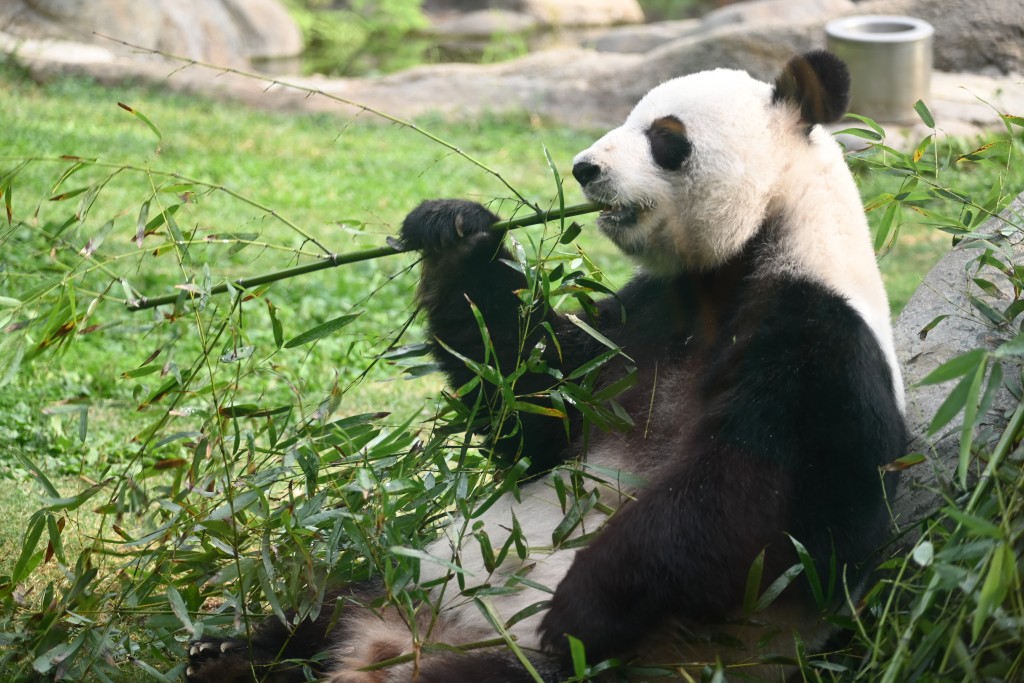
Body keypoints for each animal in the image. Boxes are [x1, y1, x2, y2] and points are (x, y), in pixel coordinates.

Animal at [184, 52, 905, 683]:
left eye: (665, 137)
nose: (584, 169)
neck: (749, 253)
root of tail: (388, 645)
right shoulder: (642, 322)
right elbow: (535, 395)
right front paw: (456, 231)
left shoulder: (816, 341)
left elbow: (751, 507)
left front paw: (578, 608)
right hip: (407, 578)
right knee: (320, 612)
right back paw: (227, 653)